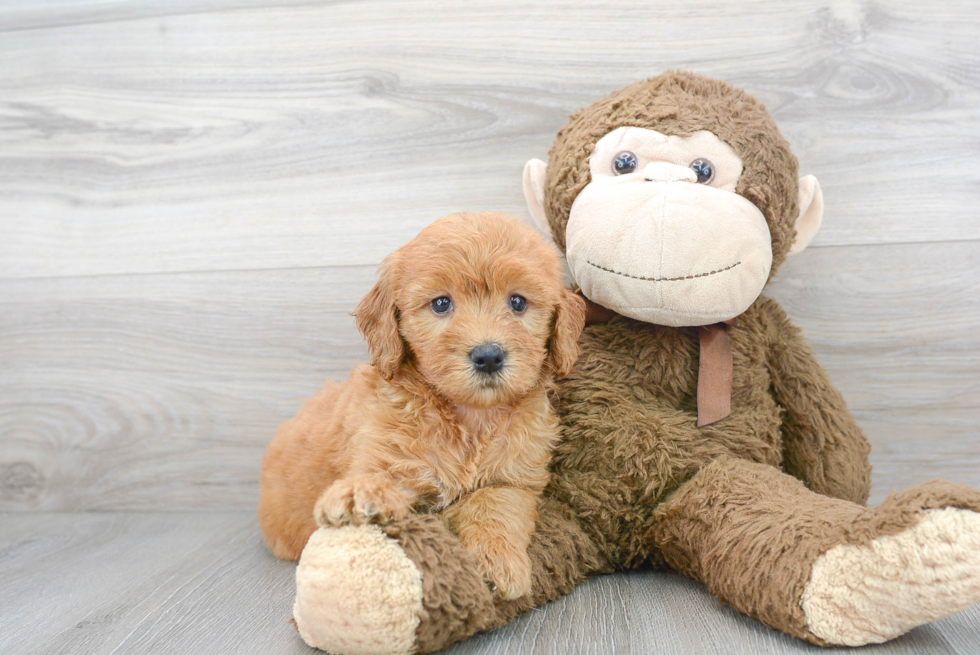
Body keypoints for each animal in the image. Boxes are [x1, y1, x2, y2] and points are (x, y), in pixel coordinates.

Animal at [256, 211, 584, 600]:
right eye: (441, 303)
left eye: (517, 302)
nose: (488, 356)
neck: (470, 418)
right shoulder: (384, 451)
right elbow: (378, 478)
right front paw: (359, 497)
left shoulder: (514, 480)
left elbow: (495, 506)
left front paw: (498, 562)